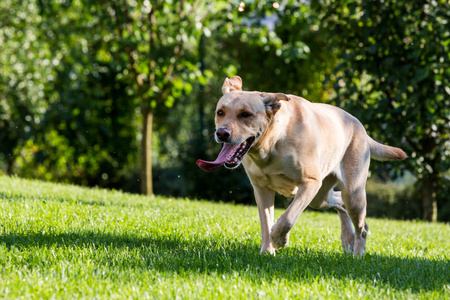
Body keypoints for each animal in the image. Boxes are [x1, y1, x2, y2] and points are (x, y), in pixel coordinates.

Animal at [197, 75, 408, 255]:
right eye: (220, 112)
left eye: (246, 114)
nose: (222, 133)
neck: (271, 143)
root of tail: (360, 126)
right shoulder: (262, 189)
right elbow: (266, 222)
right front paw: (267, 251)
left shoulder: (310, 183)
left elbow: (287, 218)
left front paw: (278, 239)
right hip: (321, 197)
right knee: (339, 202)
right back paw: (348, 238)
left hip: (352, 193)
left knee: (362, 226)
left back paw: (358, 254)